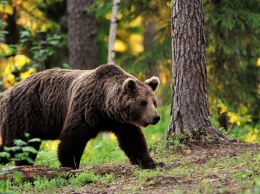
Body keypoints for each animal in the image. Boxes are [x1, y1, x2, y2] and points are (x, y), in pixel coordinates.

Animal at [0, 63, 164, 168]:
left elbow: (134, 141)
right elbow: (73, 137)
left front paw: (153, 163)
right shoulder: (85, 108)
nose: (156, 117)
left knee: (25, 148)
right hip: (25, 113)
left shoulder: (121, 122)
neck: (105, 106)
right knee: (16, 144)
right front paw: (70, 164)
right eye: (143, 102)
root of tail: (7, 92)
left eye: (154, 102)